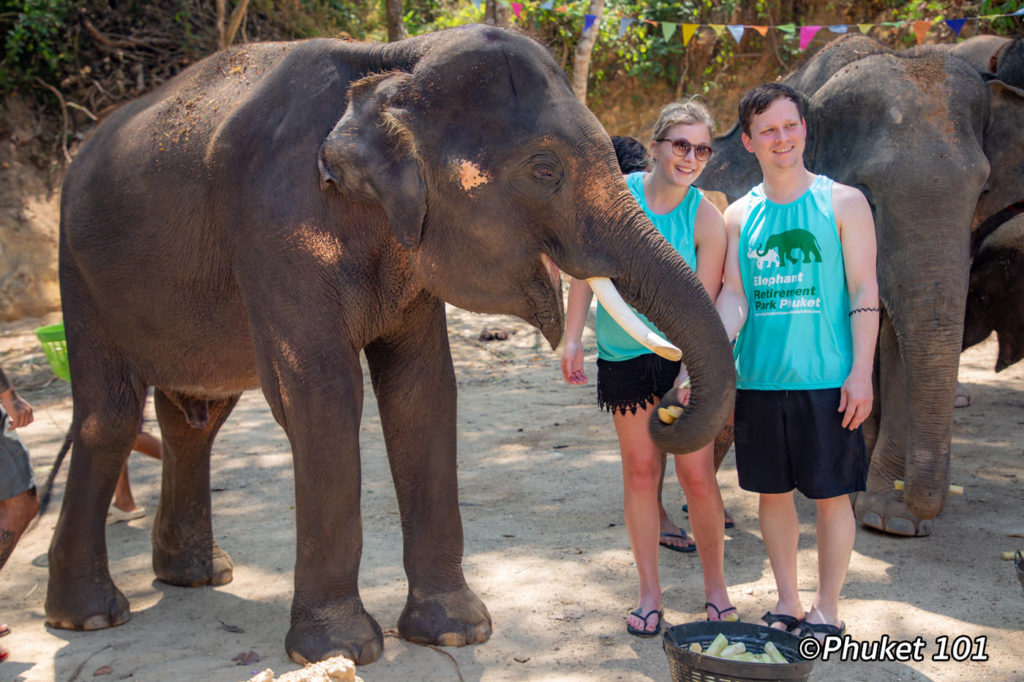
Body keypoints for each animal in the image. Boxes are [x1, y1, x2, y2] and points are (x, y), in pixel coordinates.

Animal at [49, 26, 737, 663]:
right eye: (545, 169)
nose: (666, 410)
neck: (393, 62)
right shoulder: (274, 226)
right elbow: (321, 394)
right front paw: (338, 650)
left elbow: (422, 390)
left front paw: (456, 632)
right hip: (78, 271)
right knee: (110, 417)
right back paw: (90, 616)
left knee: (197, 417)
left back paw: (196, 576)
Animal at [696, 34, 1024, 532]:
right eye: (866, 194)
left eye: (984, 193)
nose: (924, 504)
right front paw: (884, 511)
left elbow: (894, 339)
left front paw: (892, 520)